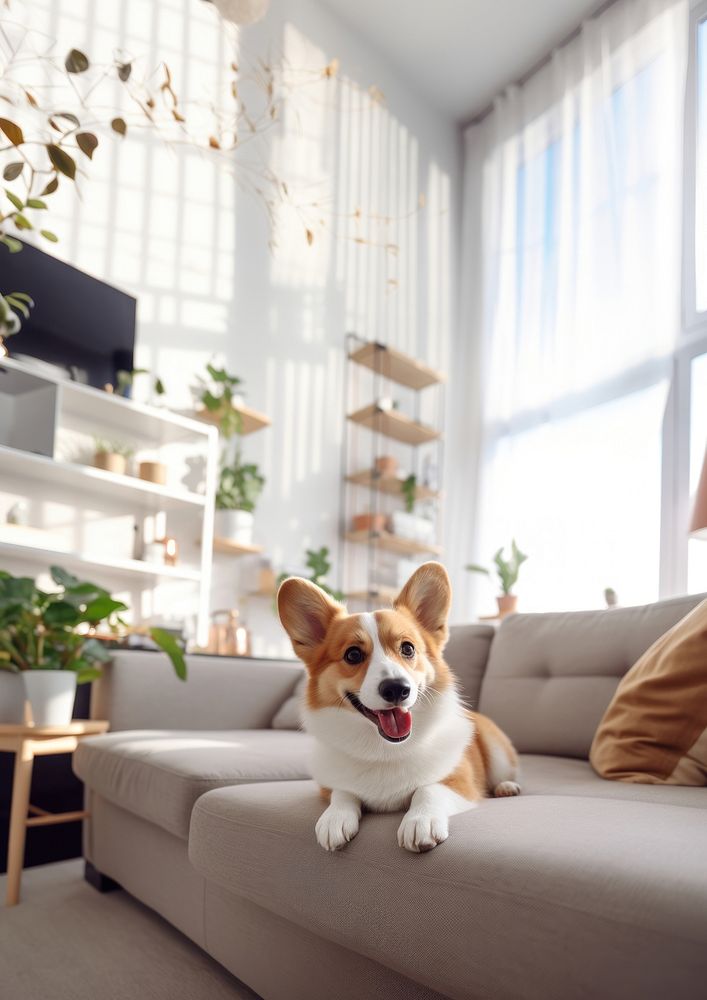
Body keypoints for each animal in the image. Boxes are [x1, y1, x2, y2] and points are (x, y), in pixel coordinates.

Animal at [276, 564, 520, 852]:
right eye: (353, 655)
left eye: (408, 648)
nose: (396, 689)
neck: (385, 750)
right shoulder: (330, 785)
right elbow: (342, 793)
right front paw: (333, 819)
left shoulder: (461, 784)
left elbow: (428, 789)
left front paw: (420, 821)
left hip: (496, 749)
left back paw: (506, 787)